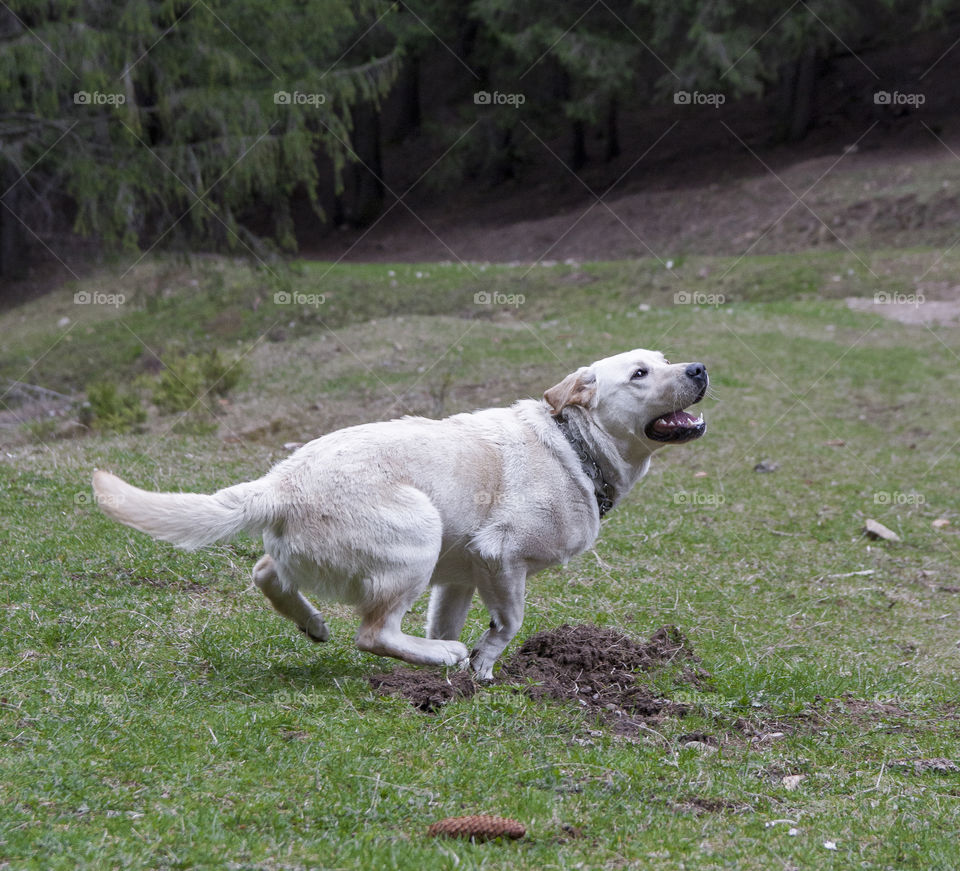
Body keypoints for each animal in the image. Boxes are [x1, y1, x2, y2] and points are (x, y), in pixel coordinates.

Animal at [92, 350, 704, 676]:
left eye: (665, 360)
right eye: (640, 374)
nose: (698, 368)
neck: (575, 447)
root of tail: (277, 484)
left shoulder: (460, 577)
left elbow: (449, 618)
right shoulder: (502, 557)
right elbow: (507, 624)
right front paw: (479, 664)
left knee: (266, 573)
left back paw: (317, 625)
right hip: (417, 535)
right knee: (373, 632)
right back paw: (440, 655)